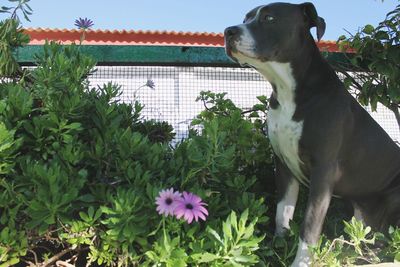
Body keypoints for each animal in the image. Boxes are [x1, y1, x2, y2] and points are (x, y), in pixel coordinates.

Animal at [225, 2, 400, 267]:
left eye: (269, 18)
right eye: (245, 18)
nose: (228, 31)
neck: (288, 90)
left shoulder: (323, 172)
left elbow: (309, 226)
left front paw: (300, 262)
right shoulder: (283, 165)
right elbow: (282, 213)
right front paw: (277, 249)